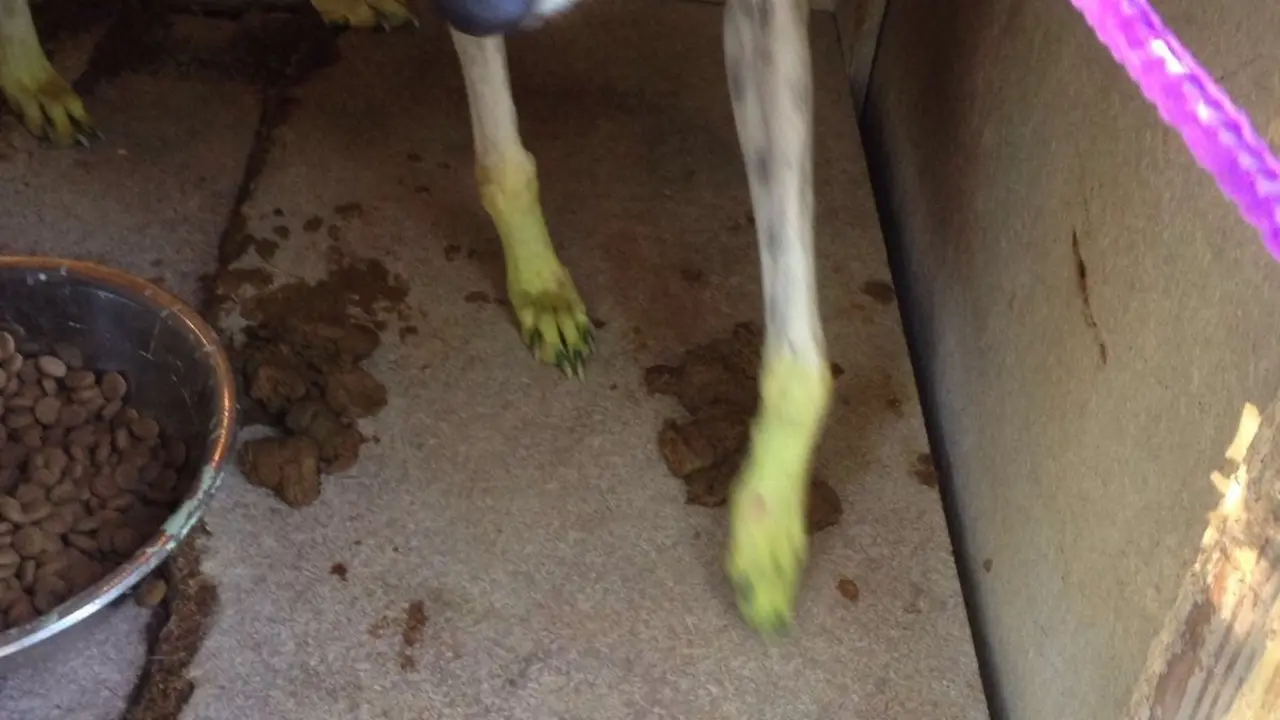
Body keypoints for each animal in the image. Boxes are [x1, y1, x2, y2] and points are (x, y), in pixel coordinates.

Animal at [0, 0, 833, 634]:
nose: (473, 14)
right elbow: (505, 164)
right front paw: (541, 287)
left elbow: (798, 320)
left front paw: (767, 530)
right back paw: (31, 76)